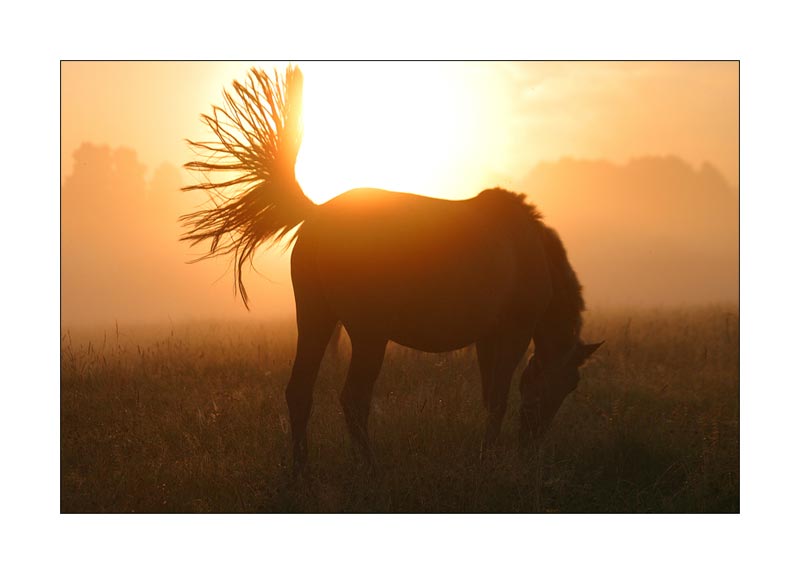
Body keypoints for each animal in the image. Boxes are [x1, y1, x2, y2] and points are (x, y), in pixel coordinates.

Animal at [181, 65, 604, 474]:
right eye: (566, 383)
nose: (531, 445)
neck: (532, 252)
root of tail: (318, 215)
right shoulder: (512, 332)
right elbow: (498, 397)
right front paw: (490, 459)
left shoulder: (488, 337)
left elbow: (490, 397)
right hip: (369, 333)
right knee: (353, 399)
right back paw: (371, 467)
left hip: (316, 318)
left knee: (299, 390)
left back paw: (301, 470)